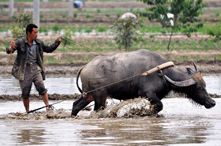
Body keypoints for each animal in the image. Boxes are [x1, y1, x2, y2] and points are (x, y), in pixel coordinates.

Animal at [71, 49, 215, 116]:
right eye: (199, 88)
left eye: (205, 86)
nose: (212, 102)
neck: (163, 74)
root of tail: (84, 67)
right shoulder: (147, 93)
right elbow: (160, 106)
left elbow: (158, 106)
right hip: (99, 96)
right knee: (97, 110)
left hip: (89, 95)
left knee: (76, 105)